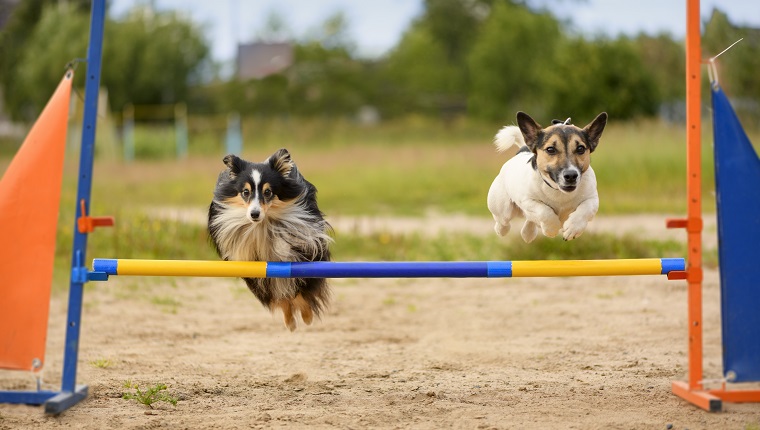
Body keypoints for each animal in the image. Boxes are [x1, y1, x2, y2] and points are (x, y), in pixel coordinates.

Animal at [206, 149, 332, 330]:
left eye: (268, 192)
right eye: (245, 192)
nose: (254, 214)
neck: (263, 225)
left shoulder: (305, 250)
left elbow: (299, 290)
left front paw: (307, 316)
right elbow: (280, 297)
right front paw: (291, 320)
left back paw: (305, 317)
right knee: (281, 296)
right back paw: (290, 322)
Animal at [490, 111, 608, 242]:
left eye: (580, 148)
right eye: (550, 149)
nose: (571, 175)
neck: (559, 192)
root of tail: (522, 150)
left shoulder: (592, 199)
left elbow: (585, 209)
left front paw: (573, 228)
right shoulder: (528, 201)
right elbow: (544, 211)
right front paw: (552, 228)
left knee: (529, 222)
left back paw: (528, 233)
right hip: (503, 208)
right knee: (503, 222)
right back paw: (502, 230)